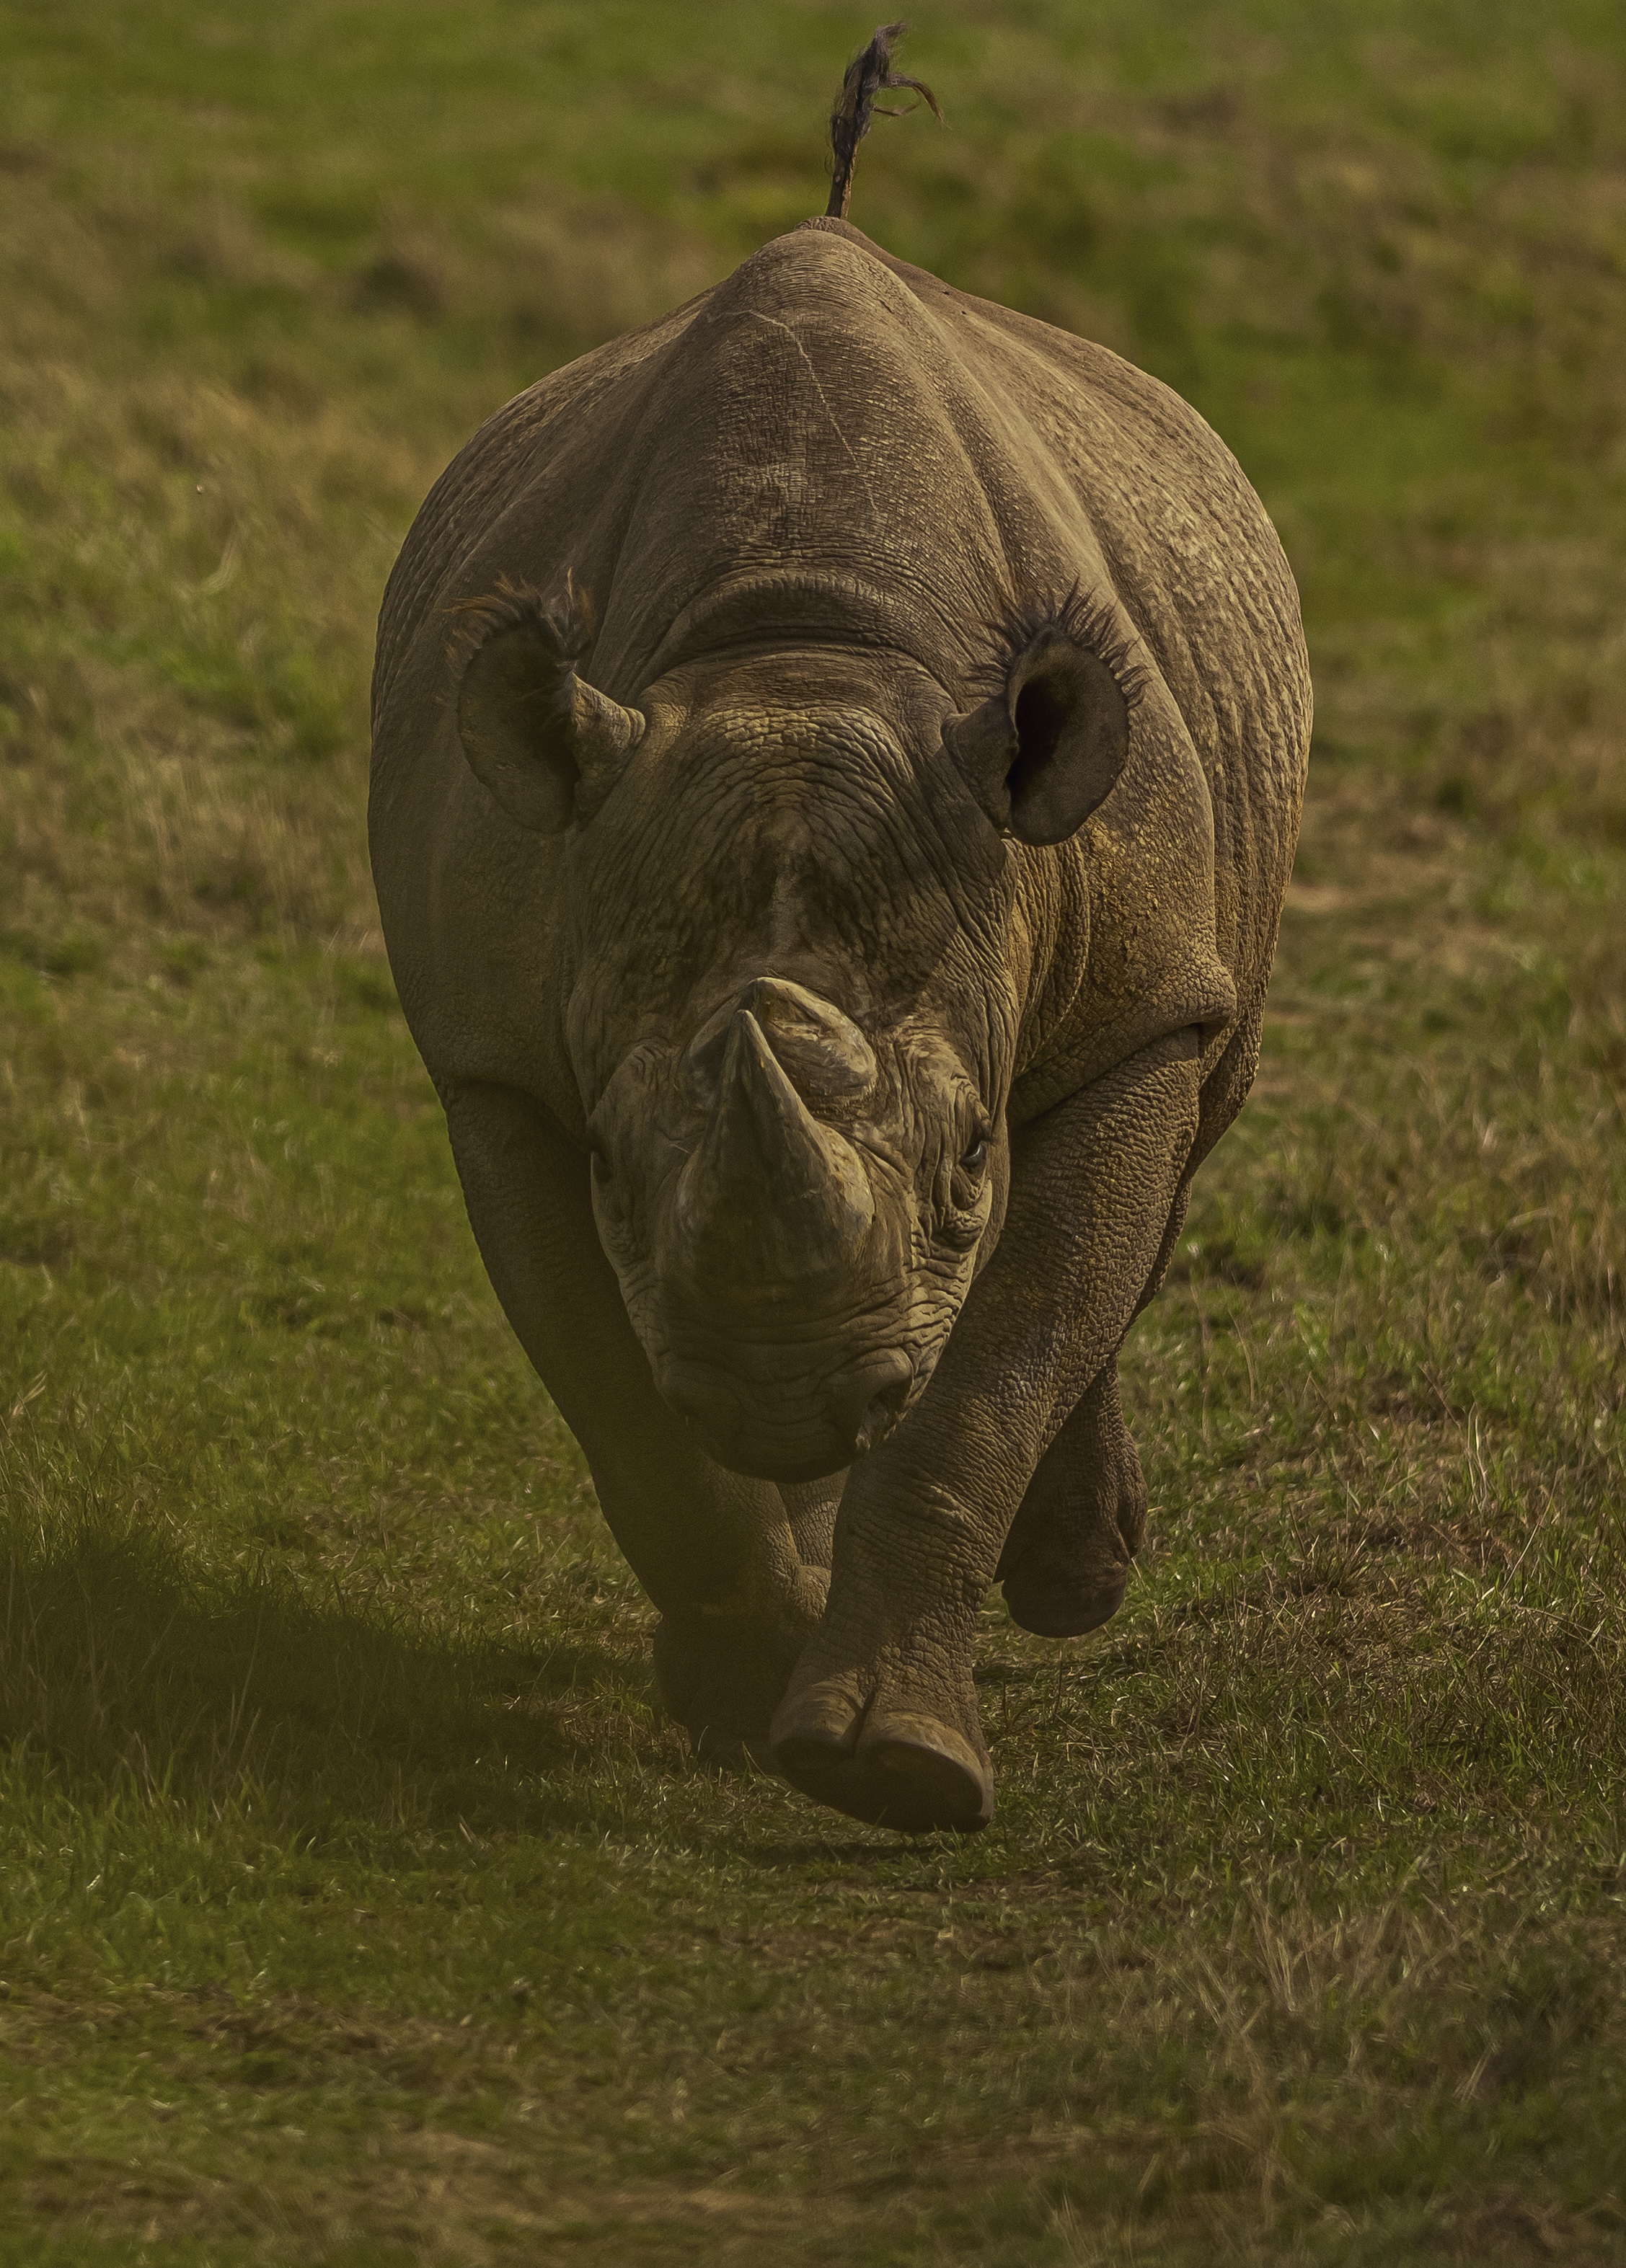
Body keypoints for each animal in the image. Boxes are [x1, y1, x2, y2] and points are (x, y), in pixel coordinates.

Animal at [369, 41, 1310, 1834]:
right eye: (610, 1167)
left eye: (966, 1164)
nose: (789, 1385)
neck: (798, 655)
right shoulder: (497, 1061)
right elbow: (620, 1406)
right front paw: (744, 1686)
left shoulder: (1137, 1001)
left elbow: (998, 1367)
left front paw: (889, 1773)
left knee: (1173, 1155)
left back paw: (1068, 1579)